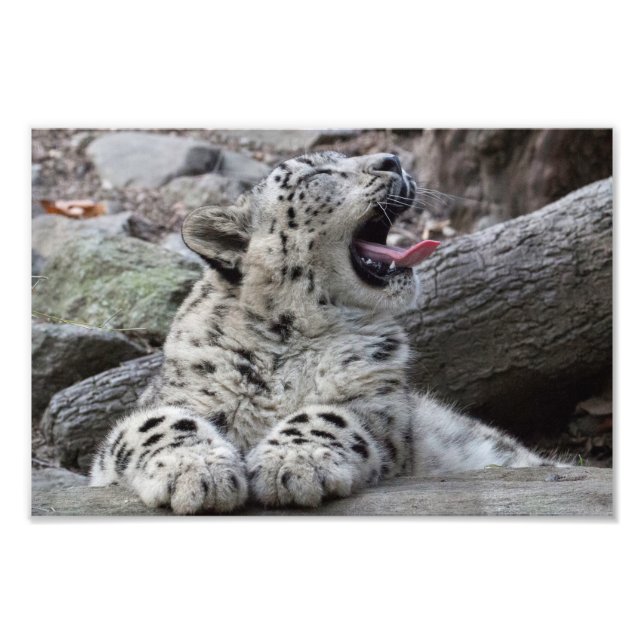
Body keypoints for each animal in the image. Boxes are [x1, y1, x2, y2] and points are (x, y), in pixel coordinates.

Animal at [90, 151, 559, 514]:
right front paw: (197, 472)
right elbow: (155, 423)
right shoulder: (171, 403)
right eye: (317, 175)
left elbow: (330, 416)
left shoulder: (382, 410)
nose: (393, 160)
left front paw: (292, 463)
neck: (291, 339)